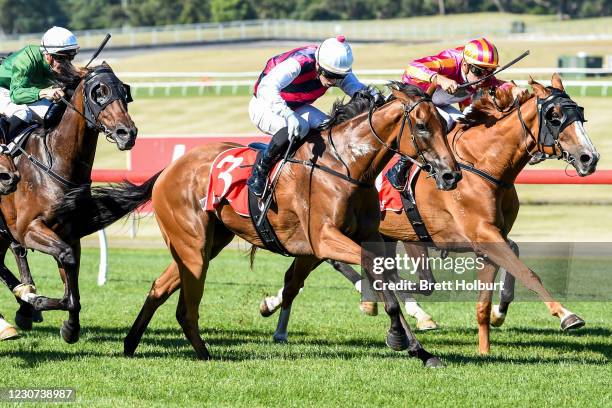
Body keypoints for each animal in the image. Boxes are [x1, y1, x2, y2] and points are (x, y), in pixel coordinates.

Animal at [0, 63, 136, 344]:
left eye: (124, 91)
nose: (127, 133)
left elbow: (71, 281)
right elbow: (66, 261)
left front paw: (69, 327)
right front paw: (35, 300)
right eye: (99, 93)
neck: (55, 162)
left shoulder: (69, 234)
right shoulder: (29, 229)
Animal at [55, 83, 462, 366]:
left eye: (444, 124)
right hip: (193, 245)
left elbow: (382, 275)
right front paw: (402, 338)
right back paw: (204, 354)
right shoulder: (325, 239)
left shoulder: (357, 239)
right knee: (185, 306)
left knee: (159, 287)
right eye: (422, 126)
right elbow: (374, 274)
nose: (450, 174)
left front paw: (420, 349)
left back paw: (131, 343)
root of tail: (168, 169)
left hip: (206, 243)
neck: (347, 166)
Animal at [260, 75, 600, 356]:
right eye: (555, 117)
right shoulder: (469, 234)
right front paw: (567, 314)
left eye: (581, 115)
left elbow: (505, 264)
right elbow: (526, 271)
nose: (590, 158)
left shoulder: (487, 236)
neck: (483, 164)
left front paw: (495, 321)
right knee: (326, 262)